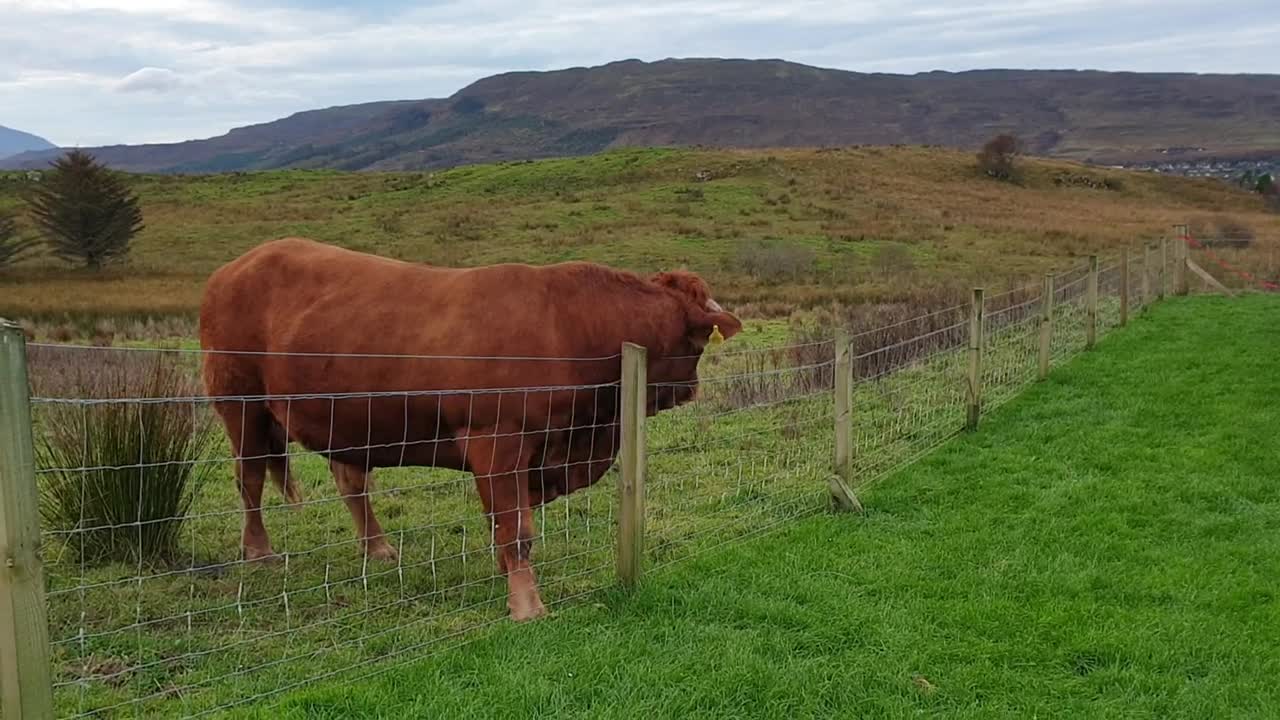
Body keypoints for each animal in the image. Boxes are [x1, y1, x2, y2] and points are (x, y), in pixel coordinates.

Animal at [198, 238, 742, 620]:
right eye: (696, 342)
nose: (691, 390)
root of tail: (237, 265)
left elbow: (509, 526)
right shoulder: (497, 441)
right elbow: (515, 530)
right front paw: (526, 606)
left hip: (343, 418)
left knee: (350, 482)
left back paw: (378, 547)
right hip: (241, 405)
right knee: (249, 478)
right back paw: (259, 551)